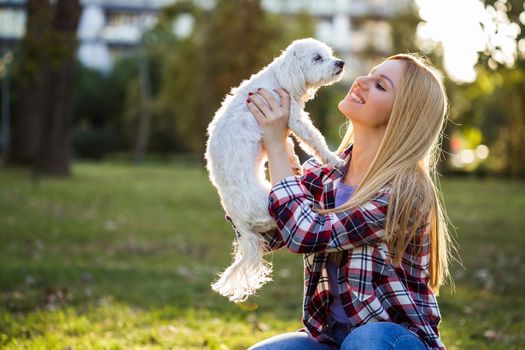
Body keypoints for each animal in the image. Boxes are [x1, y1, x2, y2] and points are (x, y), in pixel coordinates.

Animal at [205, 37, 344, 300]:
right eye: (317, 58)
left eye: (330, 54)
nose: (340, 62)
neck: (281, 78)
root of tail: (239, 221)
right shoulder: (295, 119)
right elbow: (316, 141)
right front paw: (334, 160)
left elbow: (287, 144)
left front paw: (294, 162)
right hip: (271, 207)